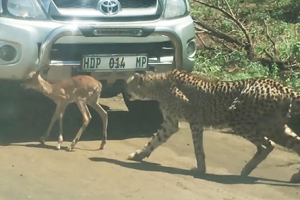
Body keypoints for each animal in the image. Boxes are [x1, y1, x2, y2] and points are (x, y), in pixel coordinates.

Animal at [125, 69, 300, 183]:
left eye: (127, 84)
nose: (124, 90)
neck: (158, 85)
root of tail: (277, 83)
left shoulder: (195, 120)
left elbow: (198, 148)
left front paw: (200, 169)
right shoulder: (170, 123)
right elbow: (154, 141)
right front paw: (138, 155)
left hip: (239, 119)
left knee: (267, 145)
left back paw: (246, 170)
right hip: (275, 126)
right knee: (293, 143)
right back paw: (295, 177)